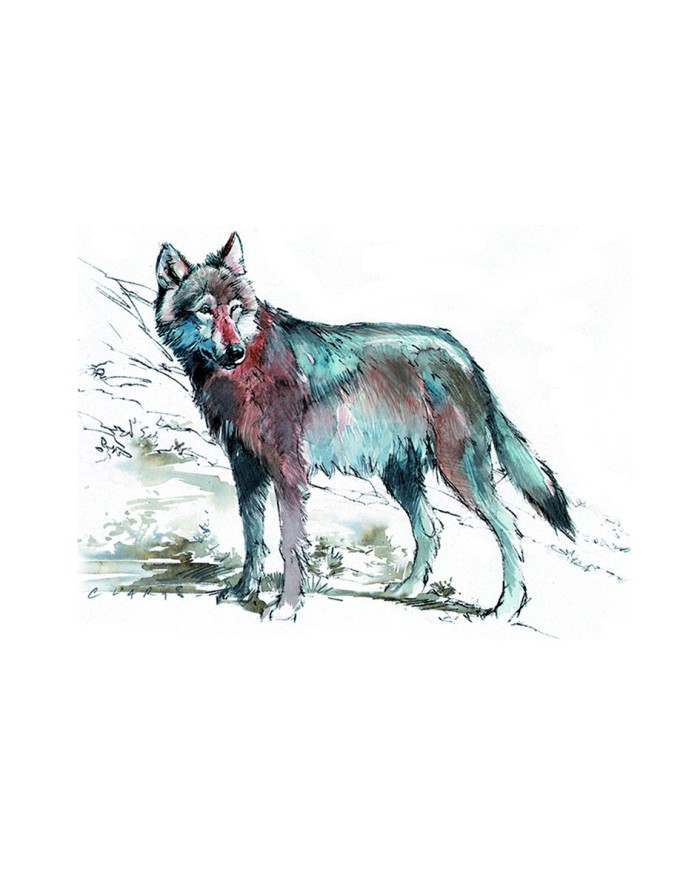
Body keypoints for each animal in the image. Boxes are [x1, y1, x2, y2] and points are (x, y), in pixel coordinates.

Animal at [155, 232, 574, 621]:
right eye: (205, 310)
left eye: (236, 309)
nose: (235, 351)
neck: (245, 372)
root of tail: (464, 354)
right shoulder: (246, 469)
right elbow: (253, 538)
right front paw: (244, 591)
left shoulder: (289, 473)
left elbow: (289, 544)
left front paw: (287, 606)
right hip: (400, 477)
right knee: (430, 527)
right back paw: (407, 589)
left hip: (460, 472)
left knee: (507, 526)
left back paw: (508, 607)